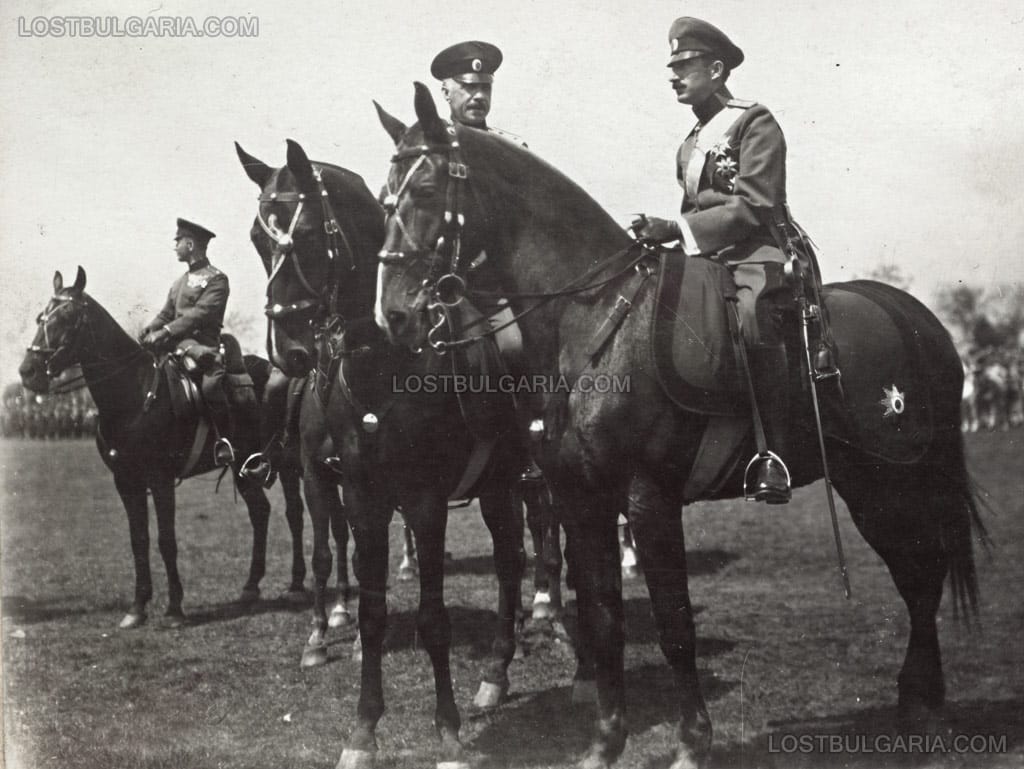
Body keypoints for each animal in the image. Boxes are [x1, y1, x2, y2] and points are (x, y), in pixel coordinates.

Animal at [17, 268, 303, 626]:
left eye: (67, 316)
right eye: (41, 316)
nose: (28, 371)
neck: (133, 393)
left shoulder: (161, 479)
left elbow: (167, 540)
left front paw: (175, 608)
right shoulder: (126, 481)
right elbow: (138, 540)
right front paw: (137, 608)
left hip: (287, 461)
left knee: (294, 512)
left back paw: (296, 585)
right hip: (243, 466)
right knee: (260, 512)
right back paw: (250, 587)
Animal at [372, 83, 987, 769]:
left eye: (426, 191)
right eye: (383, 197)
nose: (394, 315)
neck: (593, 318)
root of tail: (916, 317)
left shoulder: (649, 499)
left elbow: (674, 624)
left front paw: (694, 743)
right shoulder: (582, 499)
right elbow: (605, 620)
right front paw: (605, 741)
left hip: (895, 481)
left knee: (923, 578)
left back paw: (927, 712)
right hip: (864, 482)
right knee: (918, 577)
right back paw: (916, 703)